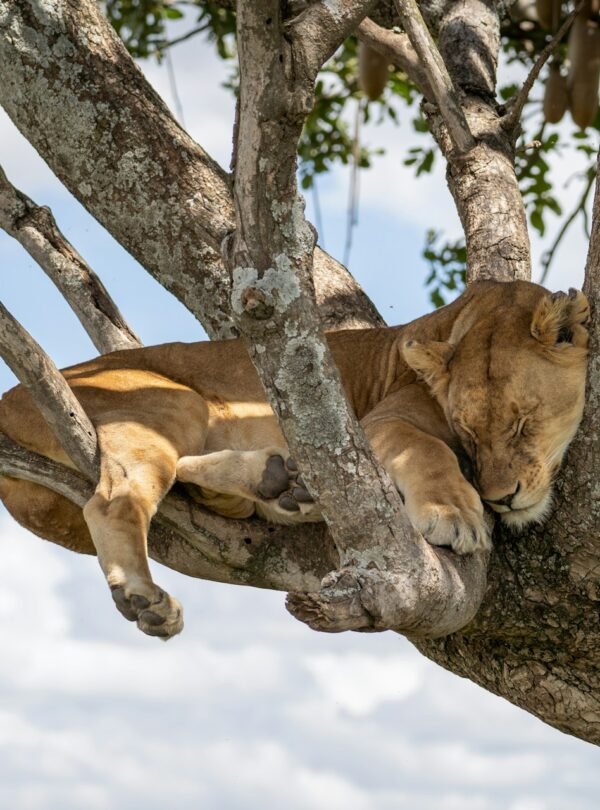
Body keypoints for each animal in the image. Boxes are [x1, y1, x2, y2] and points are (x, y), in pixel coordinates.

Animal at [0, 280, 590, 639]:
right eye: (469, 432)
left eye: (523, 422)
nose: (501, 499)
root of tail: (11, 397)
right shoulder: (375, 423)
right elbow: (429, 449)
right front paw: (456, 514)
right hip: (173, 400)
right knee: (115, 498)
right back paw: (147, 597)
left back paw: (281, 485)